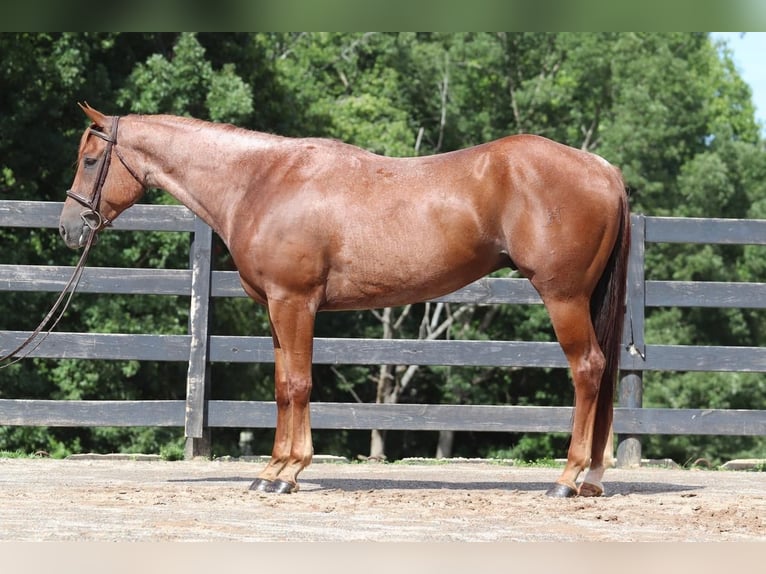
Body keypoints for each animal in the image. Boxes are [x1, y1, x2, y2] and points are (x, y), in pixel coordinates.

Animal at [61, 103, 632, 500]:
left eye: (90, 160)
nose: (69, 228)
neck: (260, 182)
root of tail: (600, 168)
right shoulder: (277, 310)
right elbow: (283, 387)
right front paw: (274, 470)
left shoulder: (294, 303)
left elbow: (297, 385)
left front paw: (286, 473)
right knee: (600, 372)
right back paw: (591, 478)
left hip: (563, 297)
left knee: (588, 368)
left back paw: (567, 478)